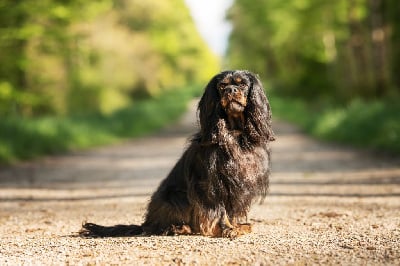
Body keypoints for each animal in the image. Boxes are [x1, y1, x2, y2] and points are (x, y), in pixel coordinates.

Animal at [81, 70, 276, 239]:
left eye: (242, 84)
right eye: (222, 86)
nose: (231, 90)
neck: (234, 132)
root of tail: (146, 223)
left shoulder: (238, 183)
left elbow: (231, 210)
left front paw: (237, 226)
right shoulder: (212, 183)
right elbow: (220, 210)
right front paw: (227, 229)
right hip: (175, 196)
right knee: (158, 227)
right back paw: (179, 227)